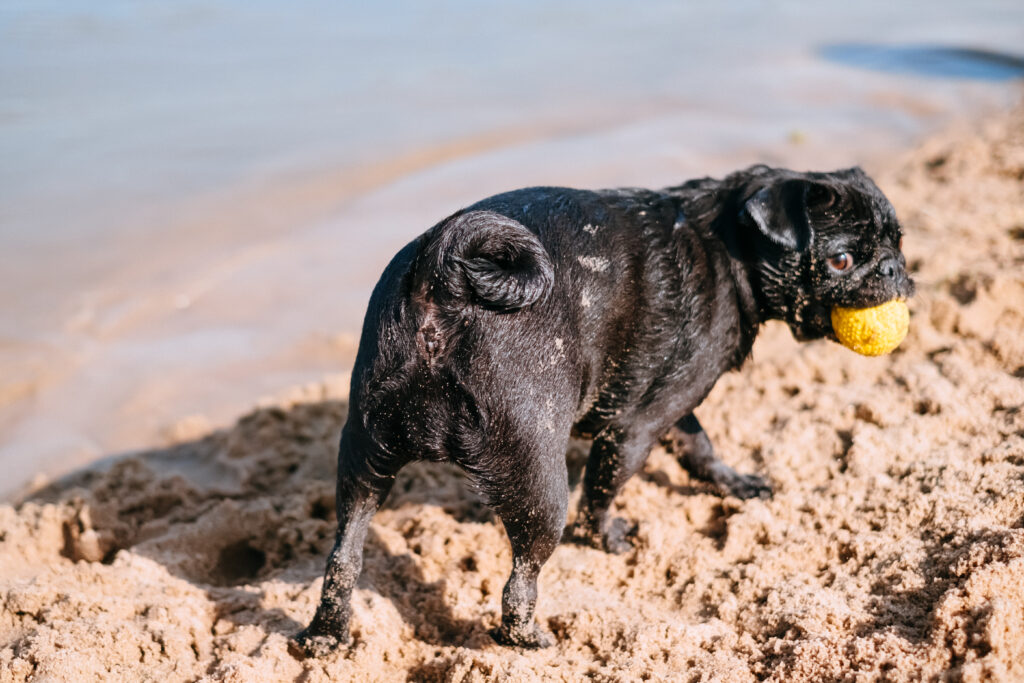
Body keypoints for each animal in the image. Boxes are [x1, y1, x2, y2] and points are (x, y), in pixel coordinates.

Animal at [294, 162, 913, 655]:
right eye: (840, 260)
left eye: (899, 242)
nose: (894, 271)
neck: (729, 246)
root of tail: (442, 279)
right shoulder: (636, 426)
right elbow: (605, 488)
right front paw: (609, 537)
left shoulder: (673, 401)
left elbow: (698, 442)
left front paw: (733, 482)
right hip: (538, 482)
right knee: (521, 579)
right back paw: (530, 638)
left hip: (364, 454)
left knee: (344, 556)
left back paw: (325, 634)